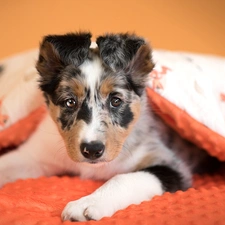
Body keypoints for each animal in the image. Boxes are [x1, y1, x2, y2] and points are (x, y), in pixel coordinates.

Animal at [0, 32, 218, 221]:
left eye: (115, 101)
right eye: (70, 102)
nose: (92, 150)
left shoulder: (171, 165)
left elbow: (124, 178)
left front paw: (87, 204)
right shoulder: (34, 155)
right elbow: (6, 163)